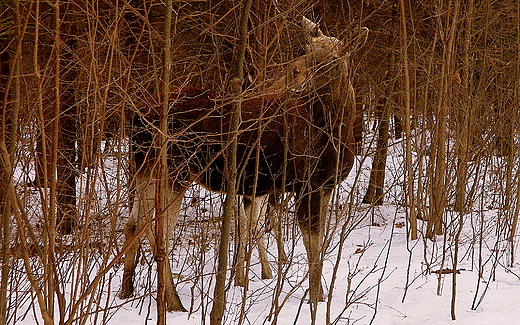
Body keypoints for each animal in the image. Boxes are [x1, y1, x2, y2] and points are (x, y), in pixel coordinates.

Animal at [120, 17, 368, 312]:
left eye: (332, 58)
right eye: (306, 48)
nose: (294, 71)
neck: (335, 132)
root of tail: (136, 115)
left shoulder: (325, 186)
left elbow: (316, 244)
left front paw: (316, 295)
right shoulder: (306, 184)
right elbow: (313, 245)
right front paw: (315, 300)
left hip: (144, 167)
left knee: (133, 223)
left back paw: (126, 290)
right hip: (174, 169)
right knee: (159, 231)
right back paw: (174, 302)